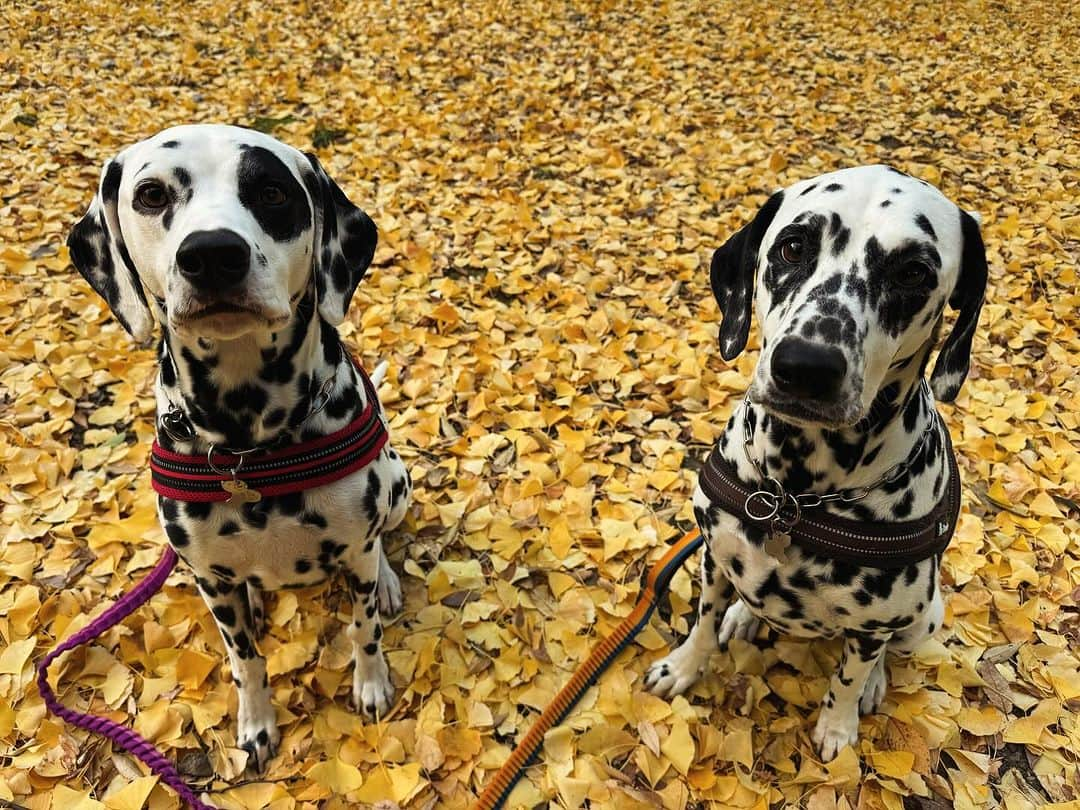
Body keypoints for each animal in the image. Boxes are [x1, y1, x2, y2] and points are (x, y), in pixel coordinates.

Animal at [67, 126, 410, 773]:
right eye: (151, 194)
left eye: (272, 192)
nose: (211, 254)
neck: (250, 445)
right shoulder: (210, 579)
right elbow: (245, 658)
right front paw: (255, 724)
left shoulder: (356, 549)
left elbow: (364, 628)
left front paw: (372, 683)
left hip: (397, 486)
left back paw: (387, 580)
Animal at [639, 165, 989, 760]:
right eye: (793, 246)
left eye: (914, 273)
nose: (806, 366)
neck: (795, 496)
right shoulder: (713, 555)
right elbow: (703, 623)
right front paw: (684, 666)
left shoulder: (875, 625)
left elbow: (849, 675)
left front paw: (838, 725)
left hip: (924, 618)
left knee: (885, 652)